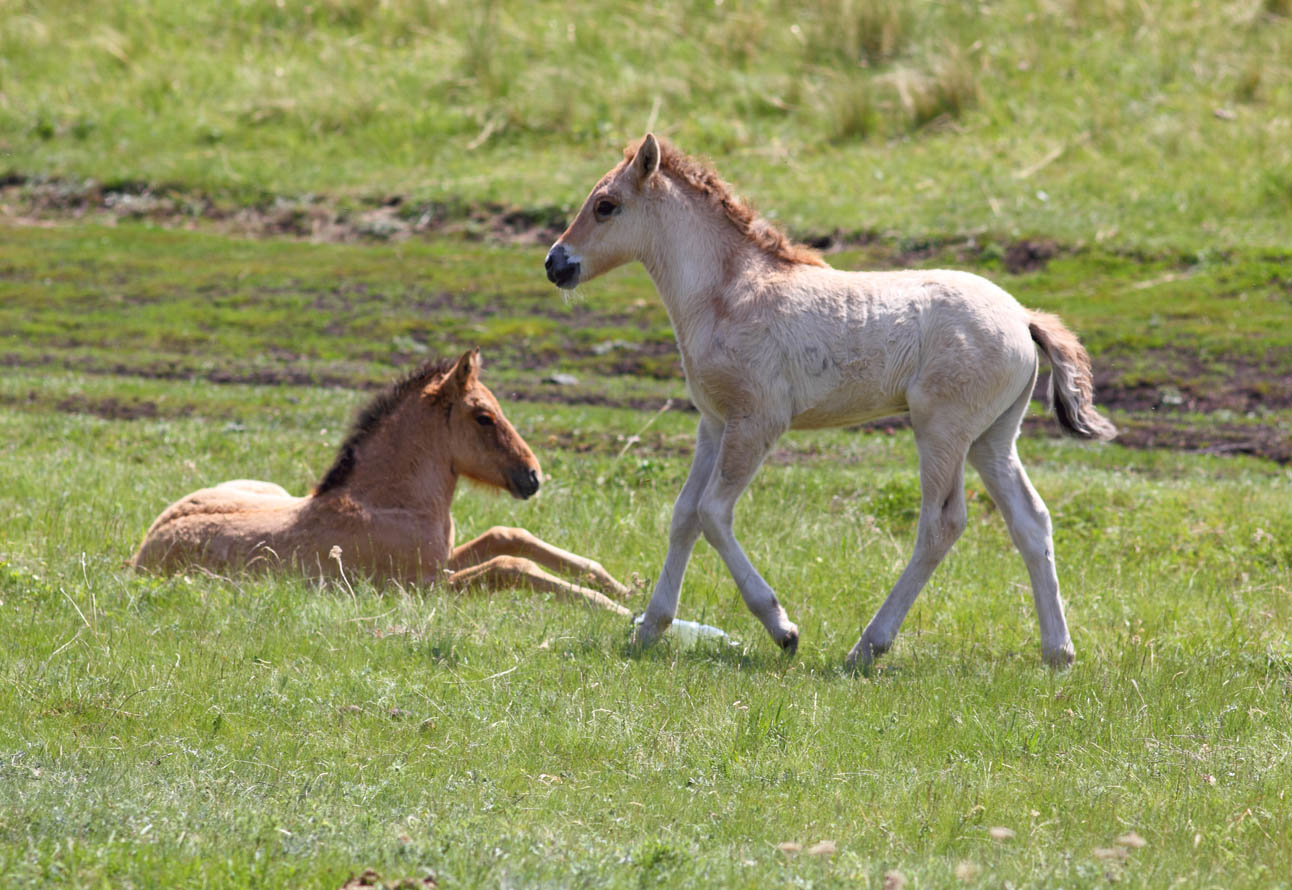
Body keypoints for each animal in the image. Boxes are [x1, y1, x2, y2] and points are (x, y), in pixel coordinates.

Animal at [129, 346, 630, 609]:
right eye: (484, 416)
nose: (532, 475)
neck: (392, 503)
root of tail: (137, 556)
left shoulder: (444, 562)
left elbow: (508, 535)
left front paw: (621, 586)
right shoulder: (426, 587)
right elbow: (510, 565)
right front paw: (615, 610)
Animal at [540, 133, 1116, 666]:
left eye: (606, 205)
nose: (554, 263)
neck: (726, 293)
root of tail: (1022, 316)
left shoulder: (757, 421)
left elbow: (712, 512)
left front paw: (782, 628)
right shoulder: (713, 423)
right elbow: (683, 515)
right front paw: (651, 628)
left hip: (941, 430)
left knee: (942, 524)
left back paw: (868, 646)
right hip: (992, 437)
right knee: (1031, 521)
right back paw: (1058, 652)